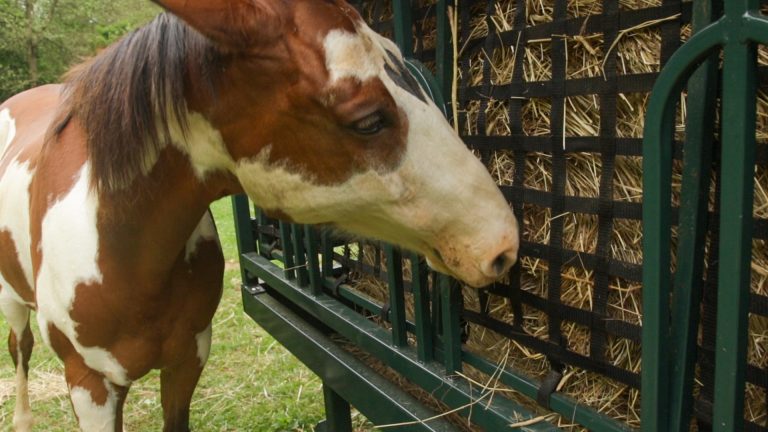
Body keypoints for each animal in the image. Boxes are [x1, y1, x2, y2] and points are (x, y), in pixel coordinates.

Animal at [0, 1, 520, 430]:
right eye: (369, 120)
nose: (503, 244)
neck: (116, 246)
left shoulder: (188, 358)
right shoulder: (89, 385)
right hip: (13, 304)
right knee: (19, 348)